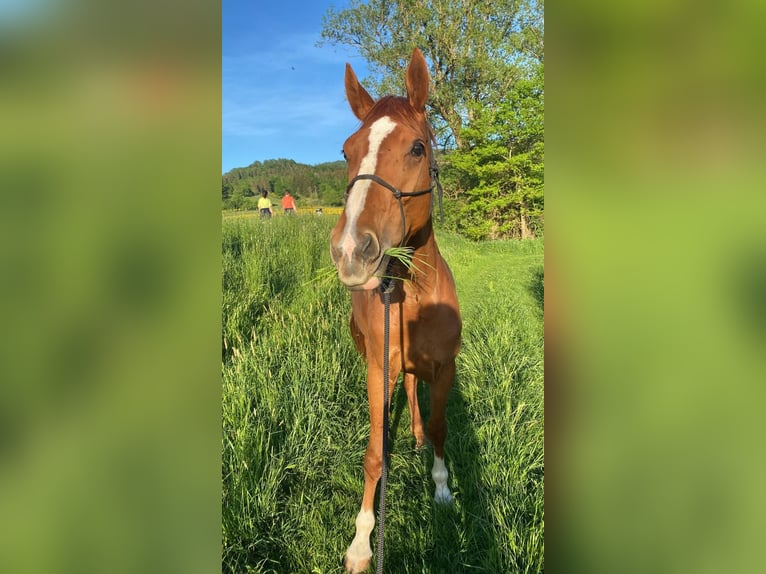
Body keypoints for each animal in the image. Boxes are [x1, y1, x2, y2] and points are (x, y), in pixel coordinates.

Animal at [330, 49, 462, 574]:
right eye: (347, 151)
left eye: (417, 149)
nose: (350, 250)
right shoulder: (375, 369)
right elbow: (372, 454)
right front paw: (362, 543)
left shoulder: (444, 368)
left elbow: (443, 426)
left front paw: (442, 490)